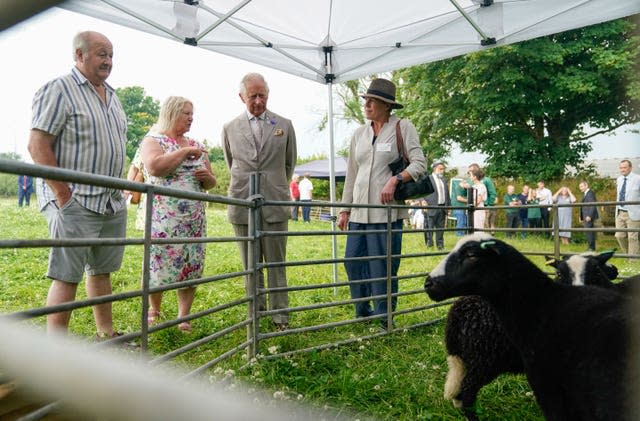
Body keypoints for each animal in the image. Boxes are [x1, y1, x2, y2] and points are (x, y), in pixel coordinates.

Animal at [422, 233, 636, 420]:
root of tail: (456, 313)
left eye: (597, 271)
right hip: (484, 360)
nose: (428, 283)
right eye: (559, 273)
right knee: (466, 393)